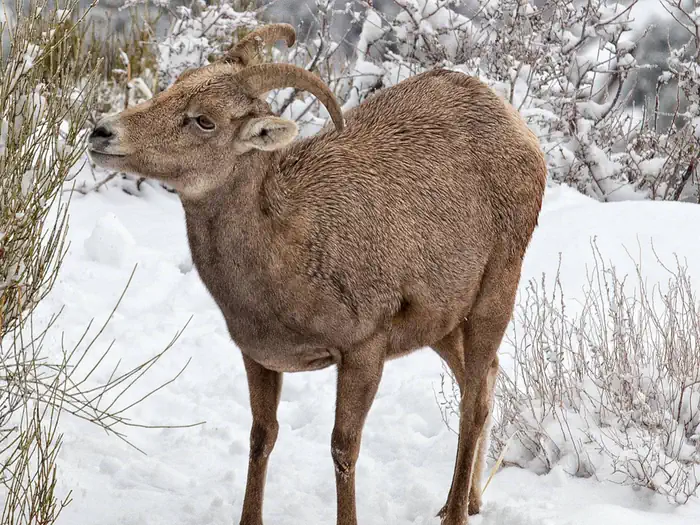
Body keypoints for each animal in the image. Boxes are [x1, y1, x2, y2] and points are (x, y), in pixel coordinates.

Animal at [87, 23, 547, 525]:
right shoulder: (259, 357)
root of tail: (517, 126)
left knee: (473, 404)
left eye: (204, 120)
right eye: (171, 88)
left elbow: (343, 449)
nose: (102, 132)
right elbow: (261, 438)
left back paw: (457, 512)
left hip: (494, 298)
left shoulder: (363, 352)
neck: (291, 247)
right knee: (479, 384)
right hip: (442, 327)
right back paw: (465, 502)